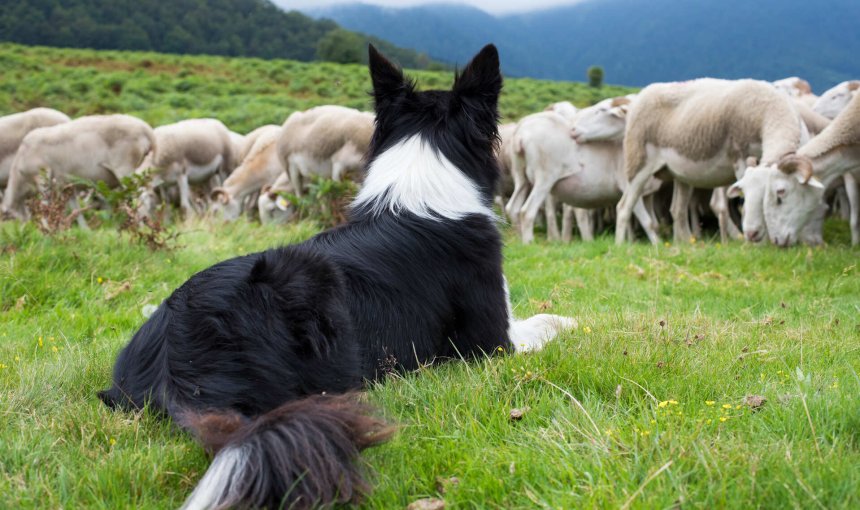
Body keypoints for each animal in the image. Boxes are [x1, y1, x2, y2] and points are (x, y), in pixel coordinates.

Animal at [1, 114, 154, 218]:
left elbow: (45, 207)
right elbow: (76, 211)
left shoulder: (42, 178)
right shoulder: (68, 187)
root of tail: (146, 131)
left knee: (140, 201)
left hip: (125, 170)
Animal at [620, 78, 808, 246]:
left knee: (677, 210)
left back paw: (688, 246)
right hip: (638, 163)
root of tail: (642, 94)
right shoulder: (740, 160)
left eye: (778, 194)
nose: (752, 234)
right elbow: (744, 208)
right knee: (623, 207)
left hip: (680, 174)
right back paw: (623, 246)